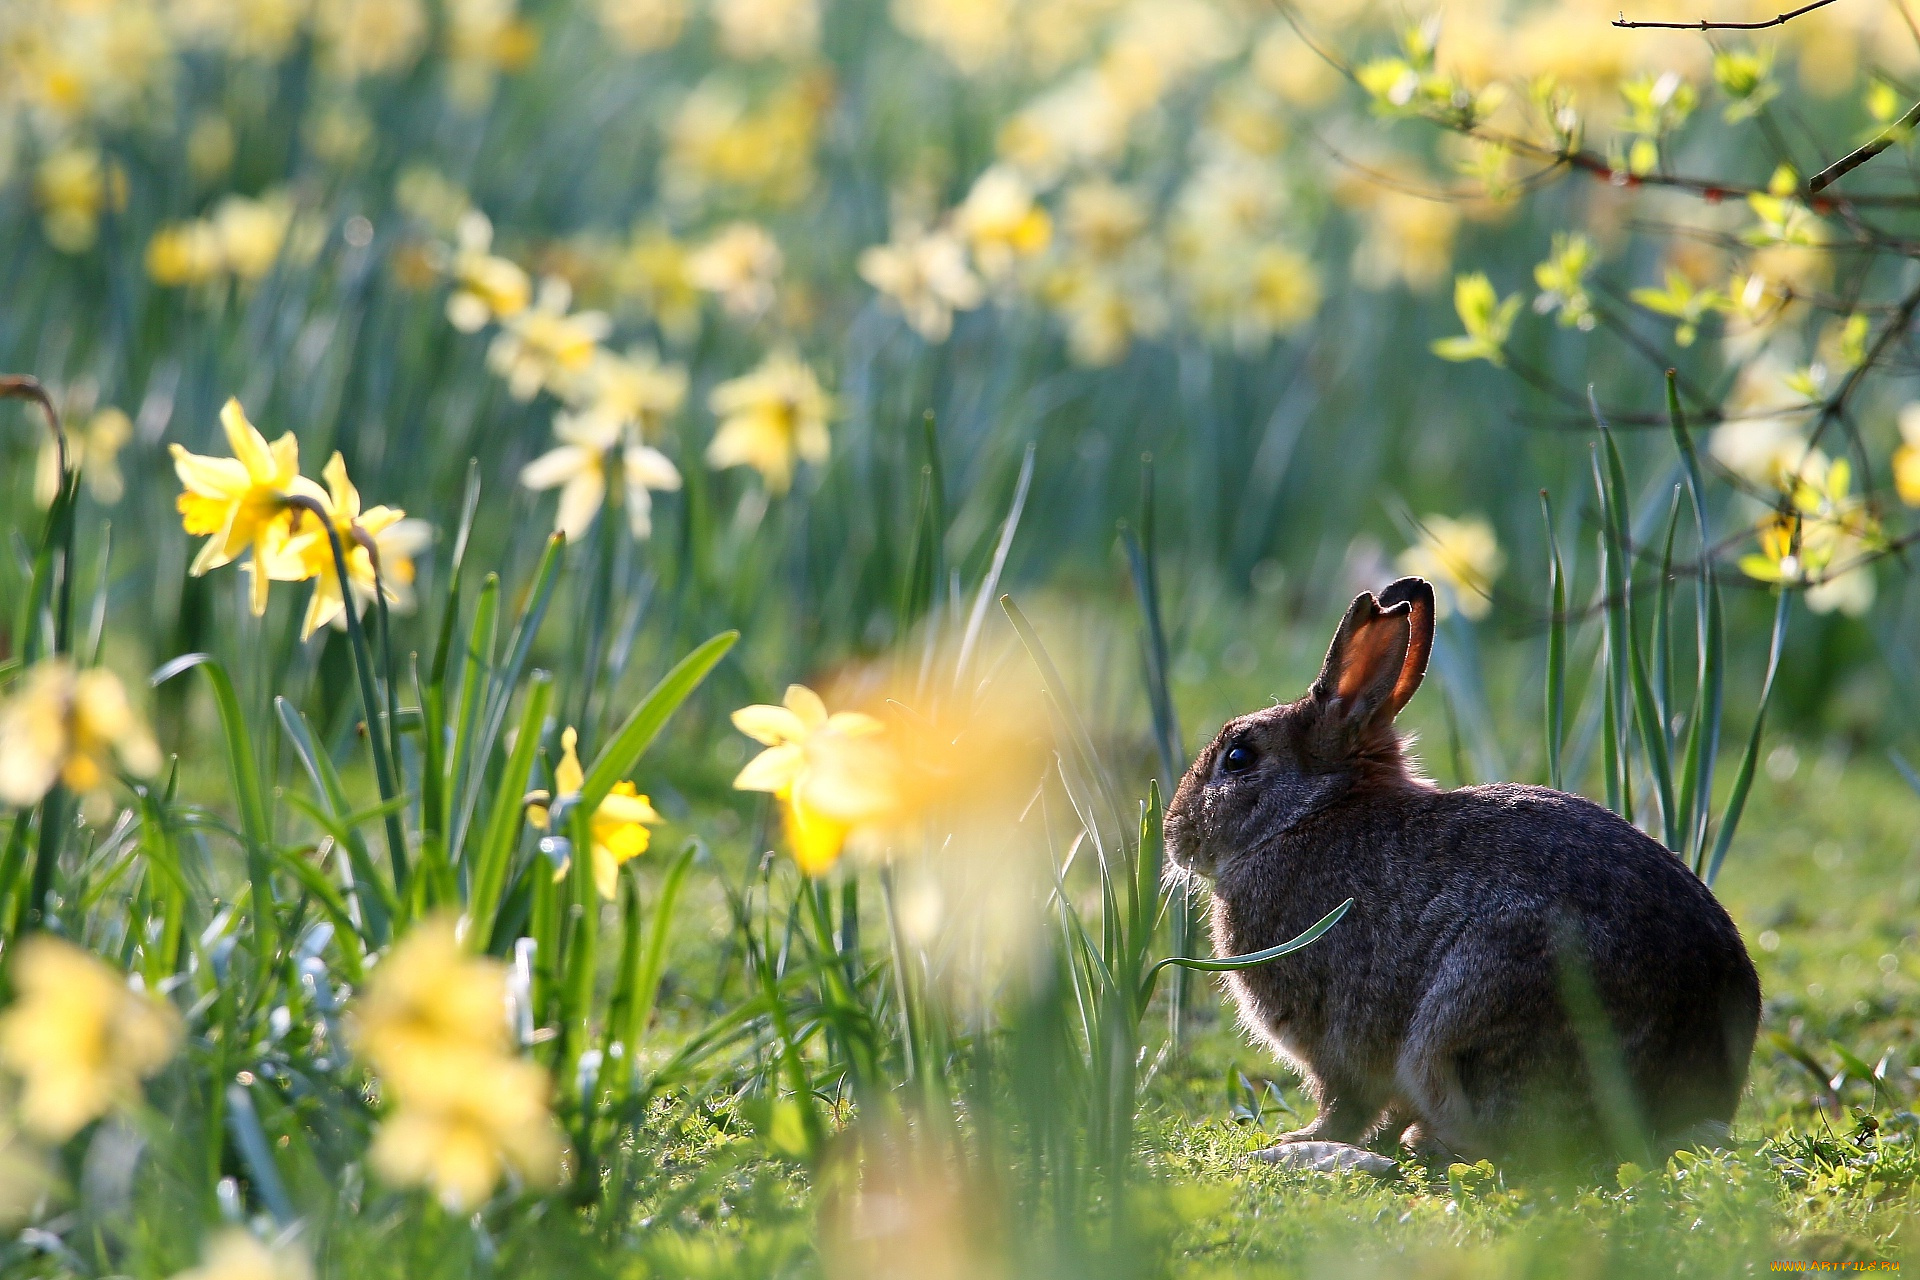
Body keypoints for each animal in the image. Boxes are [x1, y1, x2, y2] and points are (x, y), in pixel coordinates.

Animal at [1159, 579, 1758, 1174]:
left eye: (1238, 758)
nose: (1174, 836)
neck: (1308, 812)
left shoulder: (1335, 1039)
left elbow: (1344, 1101)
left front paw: (1300, 1138)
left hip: (1473, 1019)